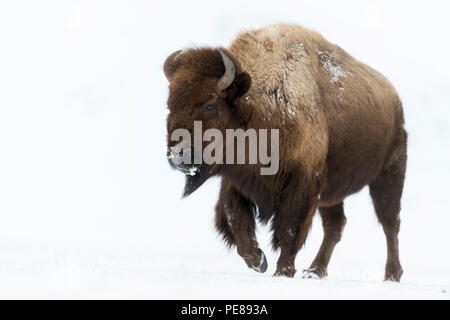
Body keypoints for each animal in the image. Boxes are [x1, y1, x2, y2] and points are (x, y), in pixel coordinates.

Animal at [163, 23, 406, 282]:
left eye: (210, 104)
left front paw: (283, 271)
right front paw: (258, 260)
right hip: (332, 193)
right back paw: (315, 271)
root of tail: (394, 99)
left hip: (389, 175)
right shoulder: (239, 180)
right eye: (170, 104)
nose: (177, 156)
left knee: (389, 223)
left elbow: (289, 227)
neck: (255, 106)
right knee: (335, 226)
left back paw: (392, 274)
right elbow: (234, 218)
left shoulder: (303, 182)